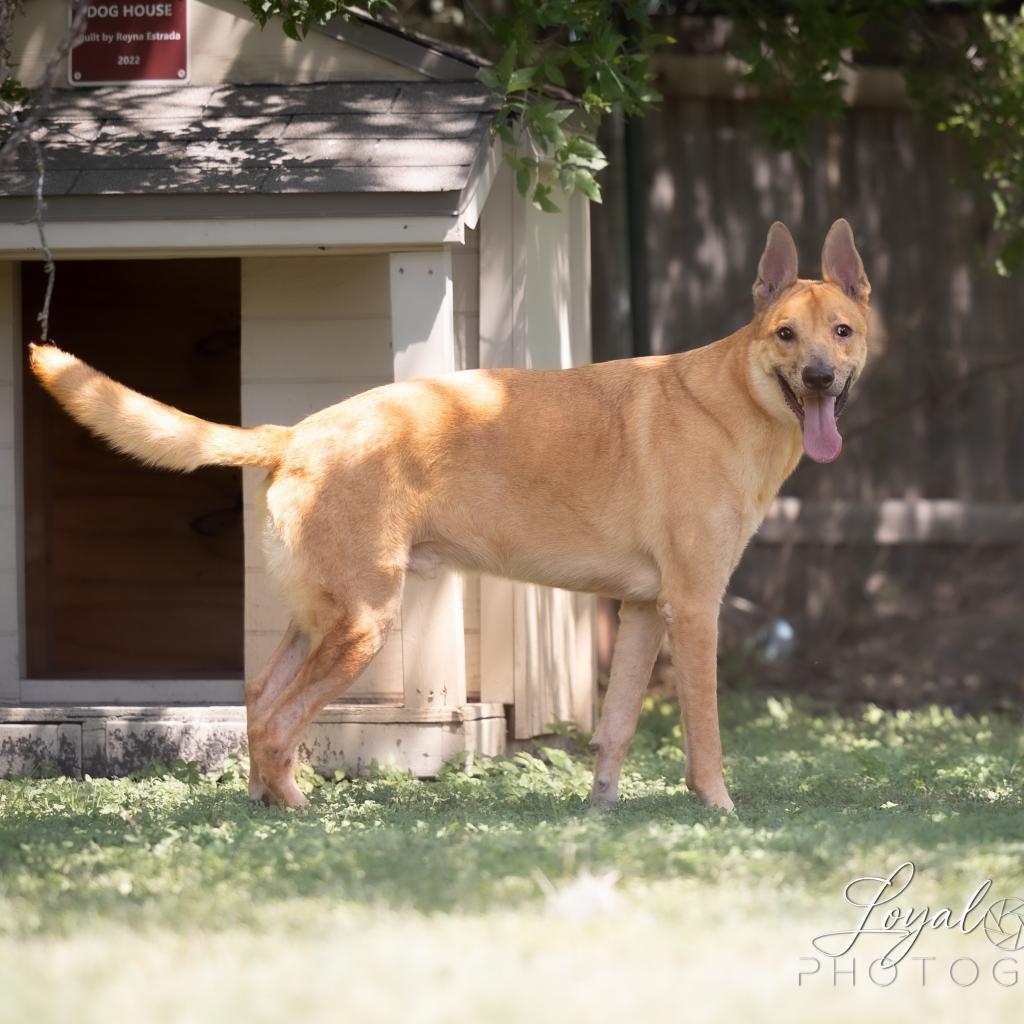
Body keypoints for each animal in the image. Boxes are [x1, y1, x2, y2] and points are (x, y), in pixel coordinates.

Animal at [28, 220, 868, 811]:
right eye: (785, 334)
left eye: (843, 331)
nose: (820, 377)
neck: (738, 397)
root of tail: (296, 432)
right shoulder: (693, 609)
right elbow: (706, 737)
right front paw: (718, 807)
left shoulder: (640, 612)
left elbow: (617, 727)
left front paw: (600, 811)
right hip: (364, 625)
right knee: (276, 723)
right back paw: (297, 812)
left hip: (319, 621)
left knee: (259, 699)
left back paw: (261, 803)